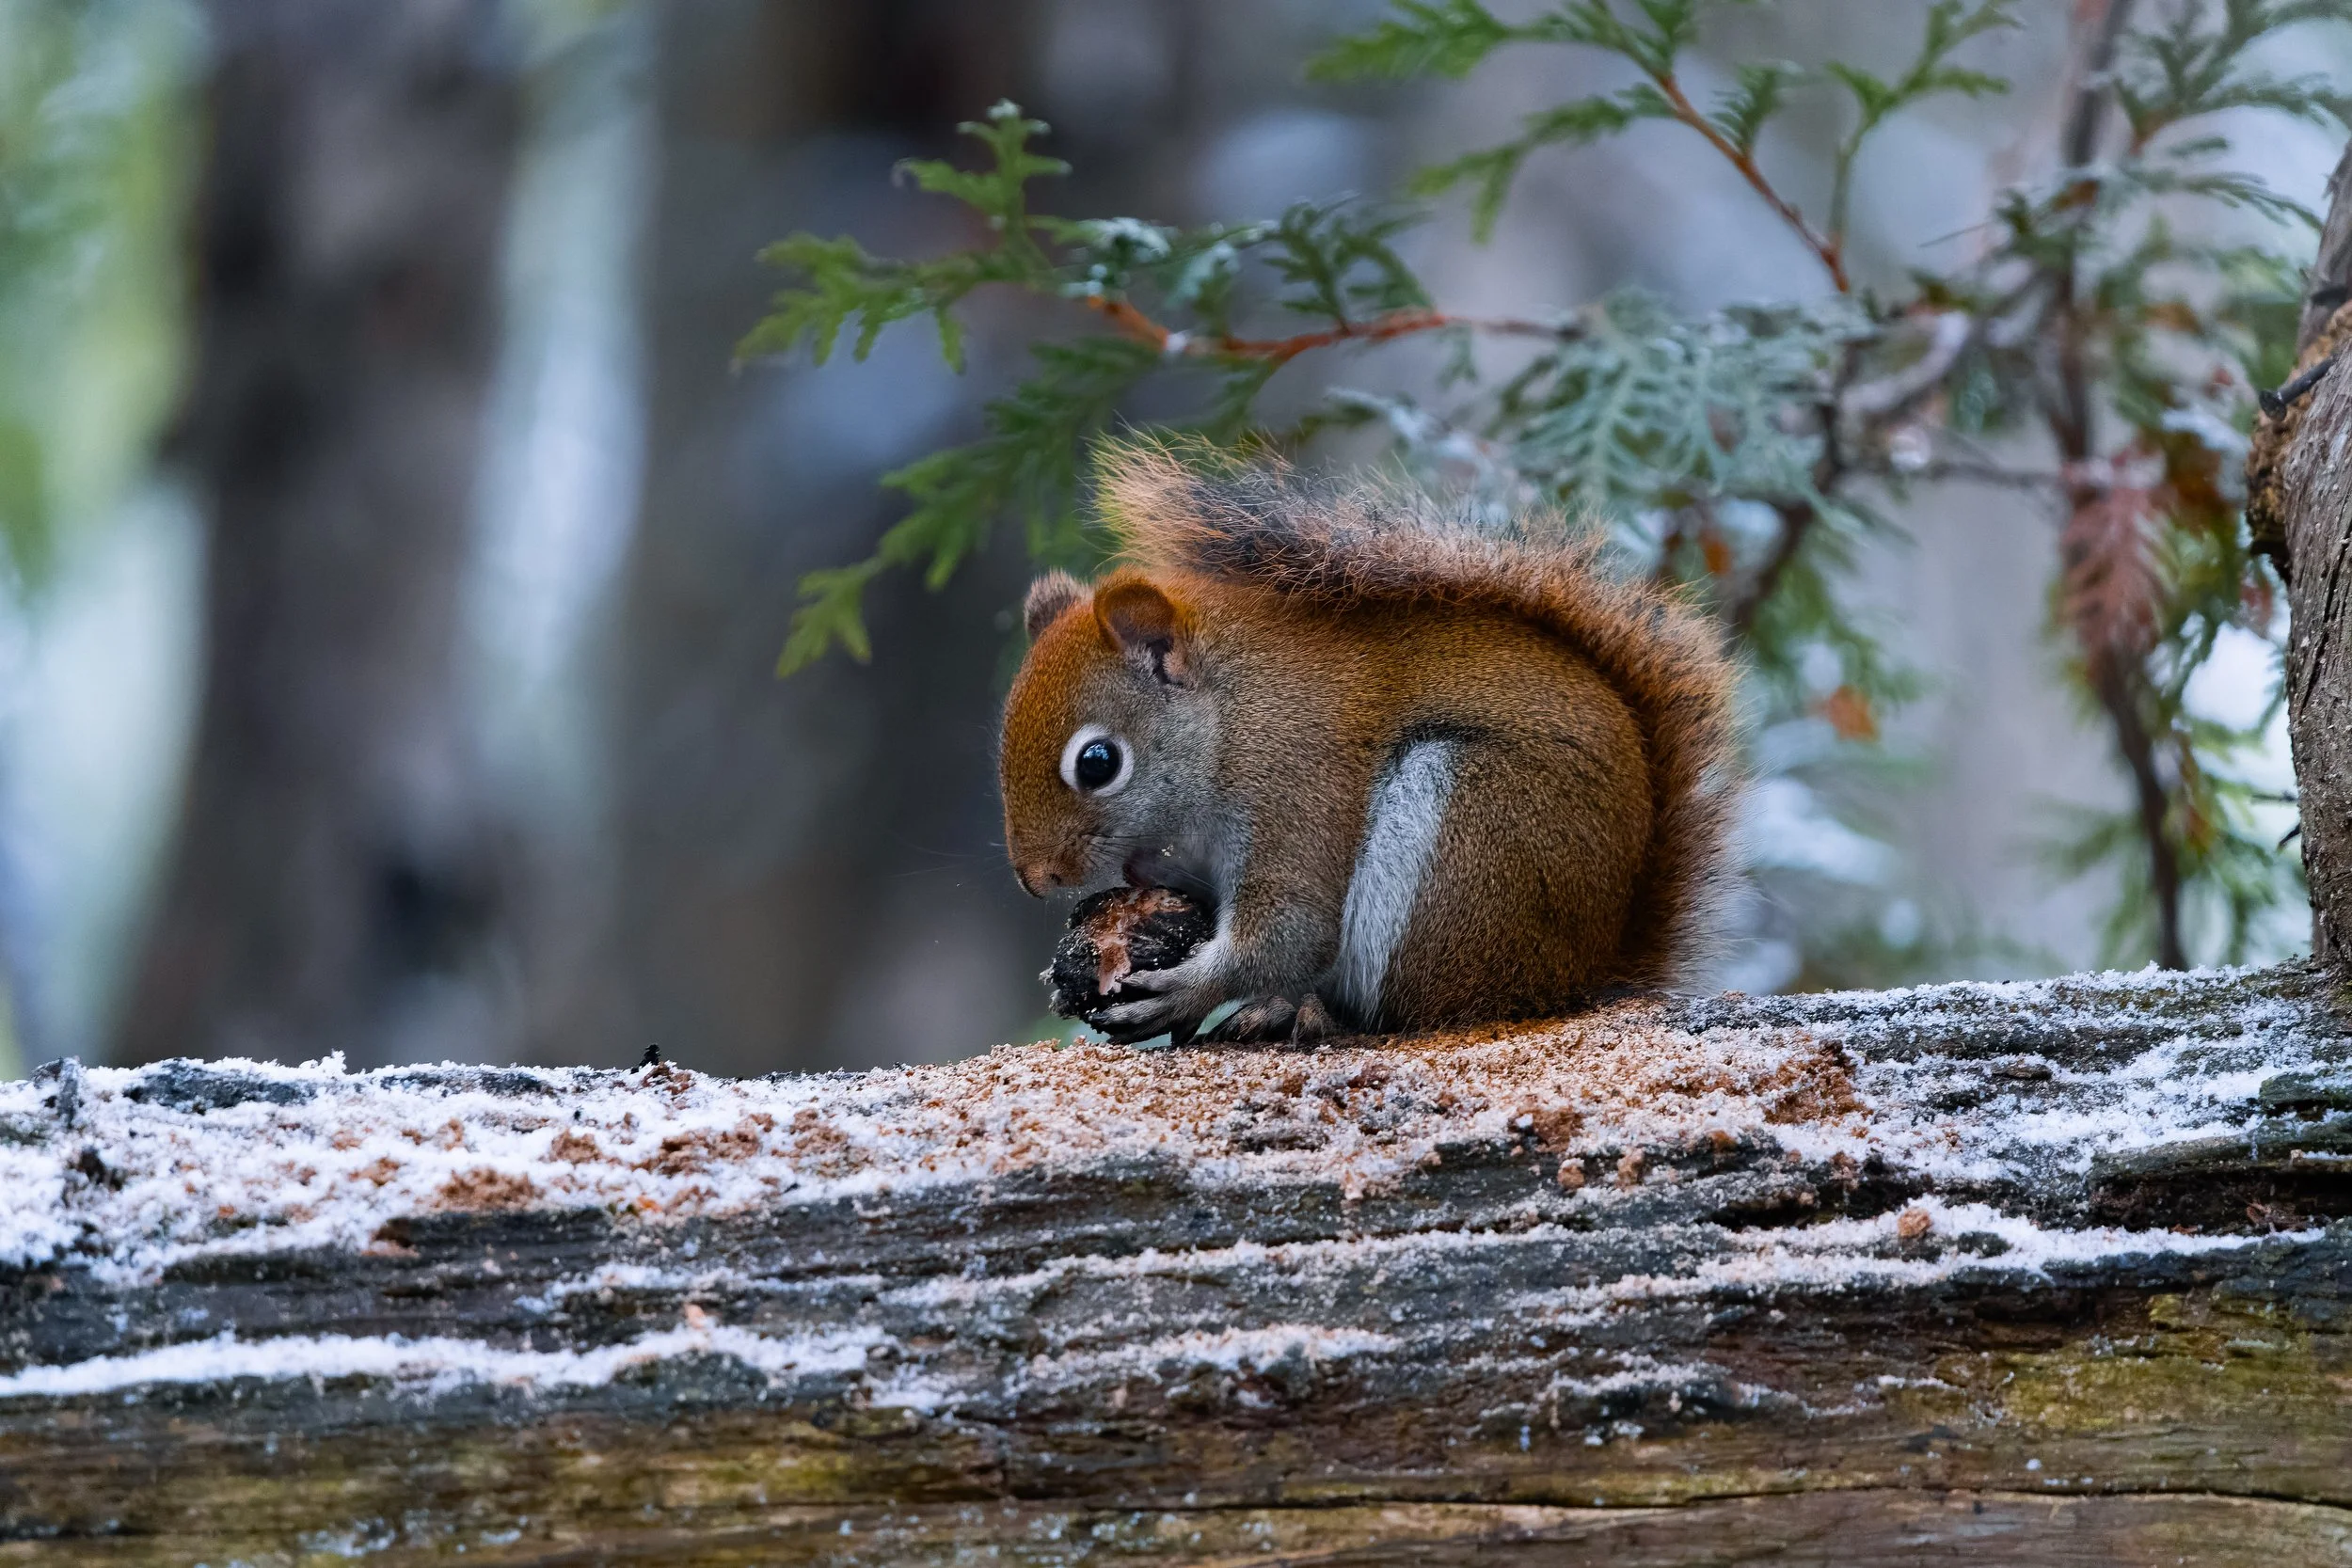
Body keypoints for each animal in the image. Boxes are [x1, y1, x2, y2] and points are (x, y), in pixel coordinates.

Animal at [1000, 444, 1740, 1045]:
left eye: (1098, 762)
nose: (1036, 881)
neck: (1229, 719)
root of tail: (1581, 973)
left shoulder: (1295, 786)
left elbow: (1291, 928)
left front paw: (1188, 990)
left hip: (1470, 838)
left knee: (1411, 1011)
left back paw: (1304, 1011)